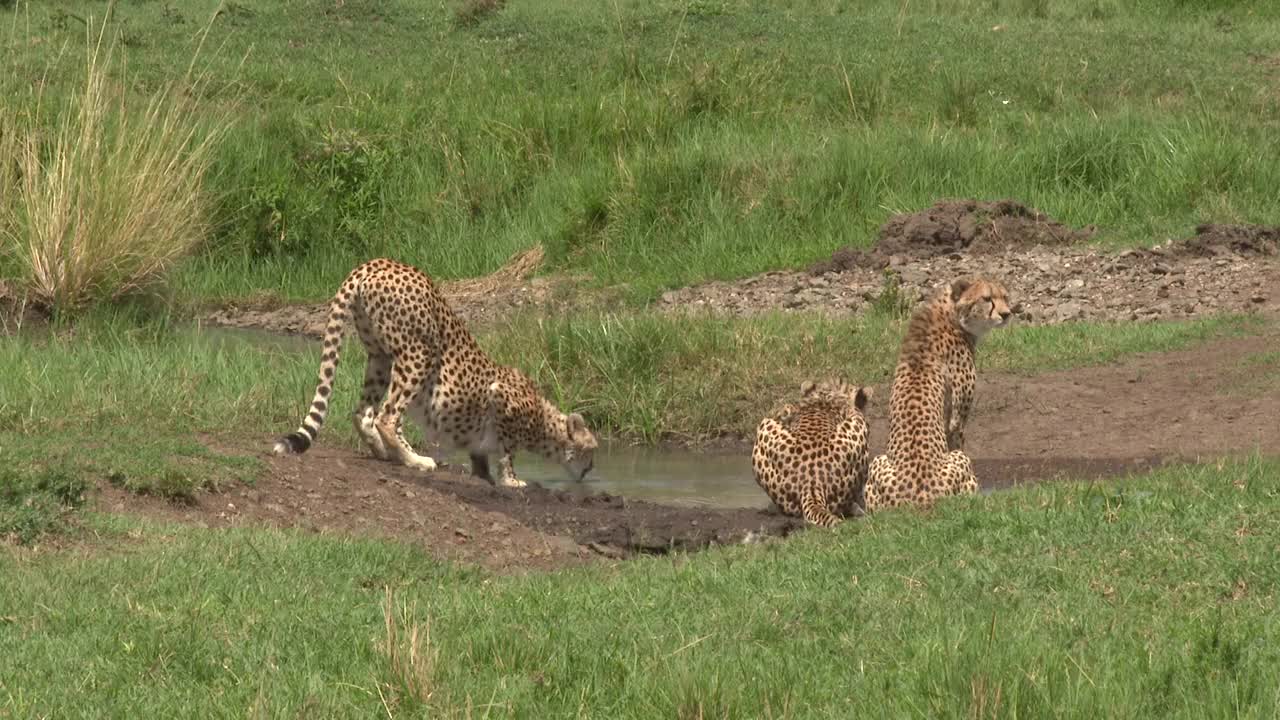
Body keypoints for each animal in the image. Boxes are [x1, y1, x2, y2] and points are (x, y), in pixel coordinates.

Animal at [271, 254, 599, 484]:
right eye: (592, 449)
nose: (591, 469)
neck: (544, 422)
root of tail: (374, 263)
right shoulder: (502, 400)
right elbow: (507, 451)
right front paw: (512, 480)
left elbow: (481, 453)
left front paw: (485, 476)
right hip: (419, 353)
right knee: (387, 416)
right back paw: (415, 460)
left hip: (380, 356)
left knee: (363, 412)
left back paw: (385, 453)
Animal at [865, 275, 1013, 509]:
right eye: (987, 298)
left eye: (1005, 297)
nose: (1006, 314)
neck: (951, 315)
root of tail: (920, 499)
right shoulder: (956, 421)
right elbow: (957, 436)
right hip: (958, 461)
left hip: (876, 464)